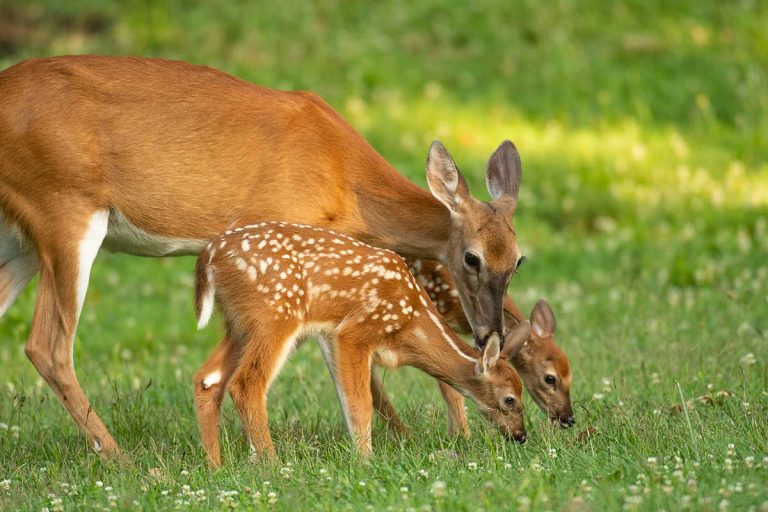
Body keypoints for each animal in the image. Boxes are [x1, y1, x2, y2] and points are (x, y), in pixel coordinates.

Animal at [192, 222, 531, 466]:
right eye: (509, 399)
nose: (520, 435)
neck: (412, 322)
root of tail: (210, 255)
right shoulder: (354, 331)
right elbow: (360, 402)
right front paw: (366, 460)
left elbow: (350, 398)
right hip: (274, 315)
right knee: (247, 382)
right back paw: (272, 466)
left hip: (237, 323)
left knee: (208, 379)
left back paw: (216, 466)